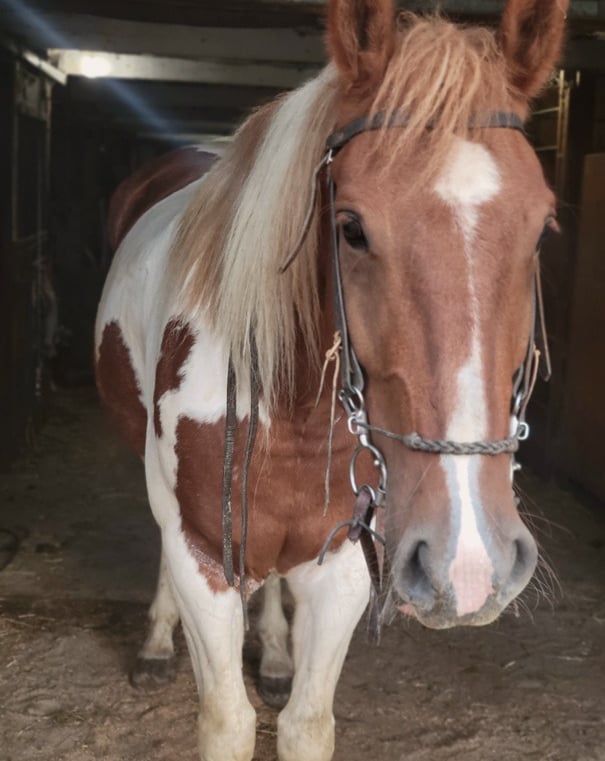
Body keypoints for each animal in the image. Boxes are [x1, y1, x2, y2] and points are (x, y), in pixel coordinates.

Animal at [95, 1, 569, 759]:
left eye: (542, 229)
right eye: (351, 228)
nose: (471, 563)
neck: (292, 415)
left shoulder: (344, 562)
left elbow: (305, 724)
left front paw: (282, 663)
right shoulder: (202, 556)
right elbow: (226, 721)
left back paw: (275, 656)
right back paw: (157, 646)